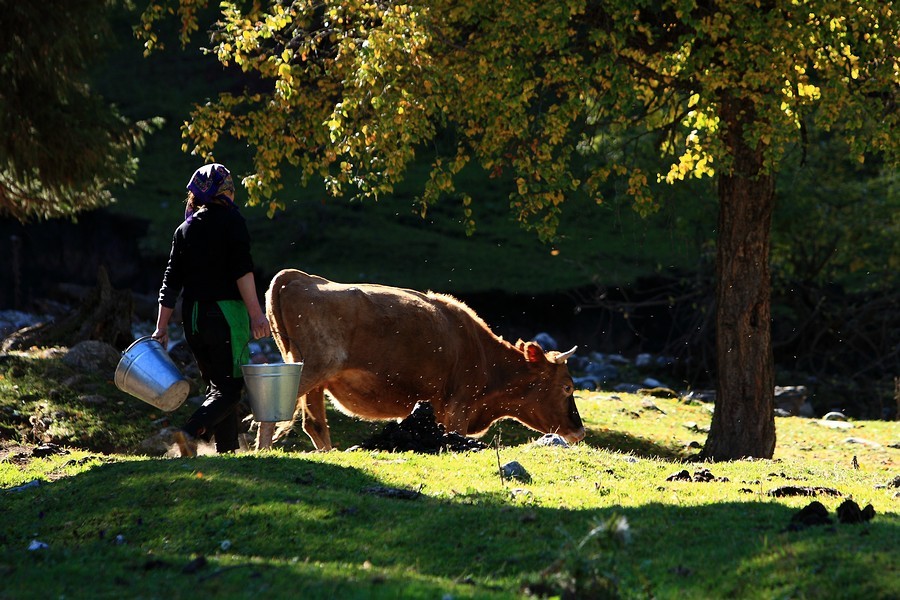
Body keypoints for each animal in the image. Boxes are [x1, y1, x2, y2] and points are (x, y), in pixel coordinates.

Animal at [256, 268, 588, 450]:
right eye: (568, 387)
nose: (580, 430)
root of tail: (300, 278)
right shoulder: (458, 407)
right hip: (310, 368)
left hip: (315, 378)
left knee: (315, 425)